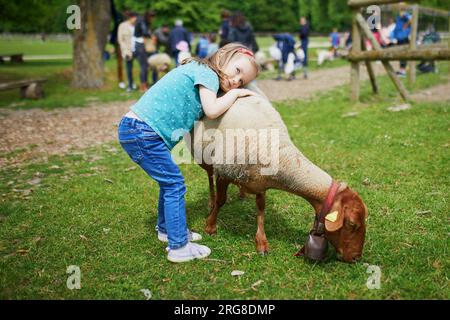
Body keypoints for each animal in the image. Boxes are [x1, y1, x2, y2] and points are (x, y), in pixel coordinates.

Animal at [188, 83, 368, 262]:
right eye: (352, 224)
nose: (356, 258)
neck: (279, 154)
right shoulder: (224, 173)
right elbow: (221, 200)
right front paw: (210, 226)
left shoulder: (260, 183)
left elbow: (261, 209)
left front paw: (261, 243)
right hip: (206, 159)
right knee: (210, 177)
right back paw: (211, 201)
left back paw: (241, 194)